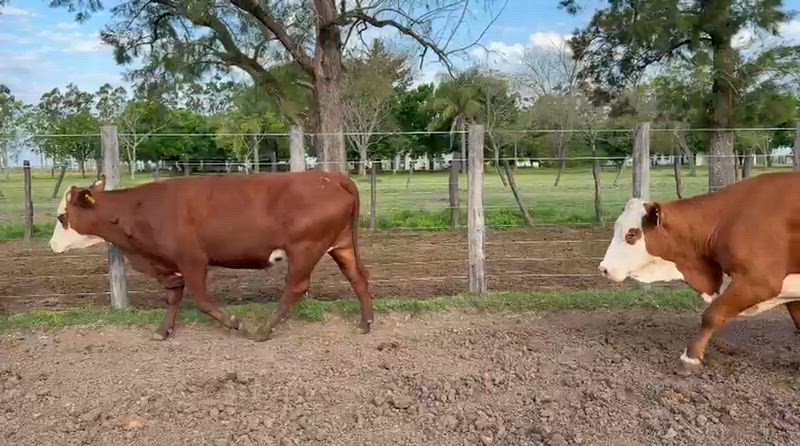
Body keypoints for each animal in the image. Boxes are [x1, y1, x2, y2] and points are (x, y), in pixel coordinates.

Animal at [48, 170, 374, 341]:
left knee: (296, 287)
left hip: (305, 247)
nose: (51, 246)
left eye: (62, 217)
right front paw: (163, 330)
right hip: (340, 244)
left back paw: (262, 329)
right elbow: (174, 296)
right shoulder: (169, 265)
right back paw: (366, 322)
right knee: (357, 276)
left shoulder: (193, 259)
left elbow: (202, 301)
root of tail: (329, 175)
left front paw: (236, 322)